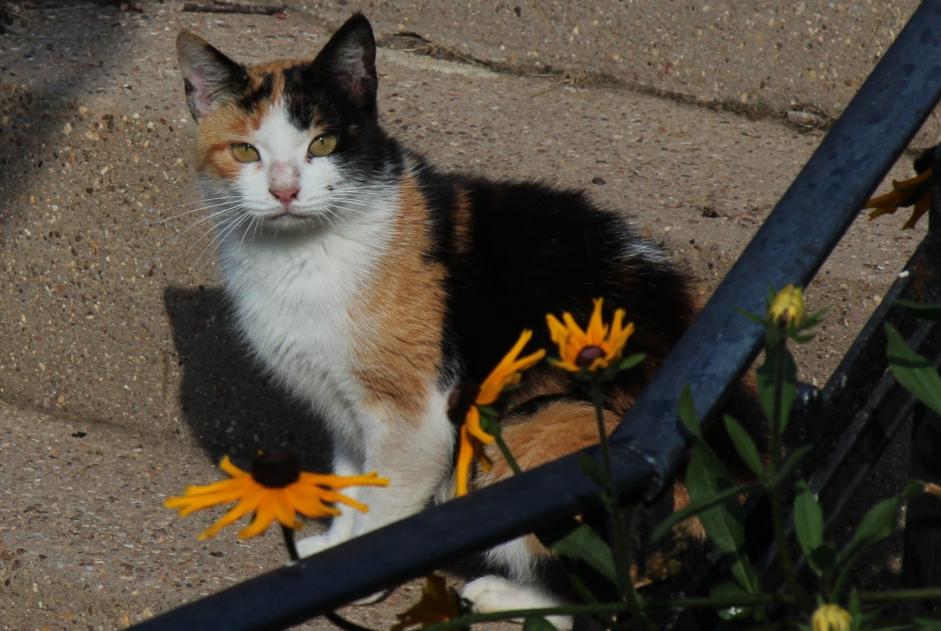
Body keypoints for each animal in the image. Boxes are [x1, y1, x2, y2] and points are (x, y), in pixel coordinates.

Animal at [178, 12, 720, 628]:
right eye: (246, 151)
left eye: (324, 143)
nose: (285, 189)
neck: (301, 258)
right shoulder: (341, 403)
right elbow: (350, 476)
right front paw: (336, 547)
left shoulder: (412, 414)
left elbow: (383, 495)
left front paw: (360, 571)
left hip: (541, 424)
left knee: (604, 601)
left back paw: (498, 594)